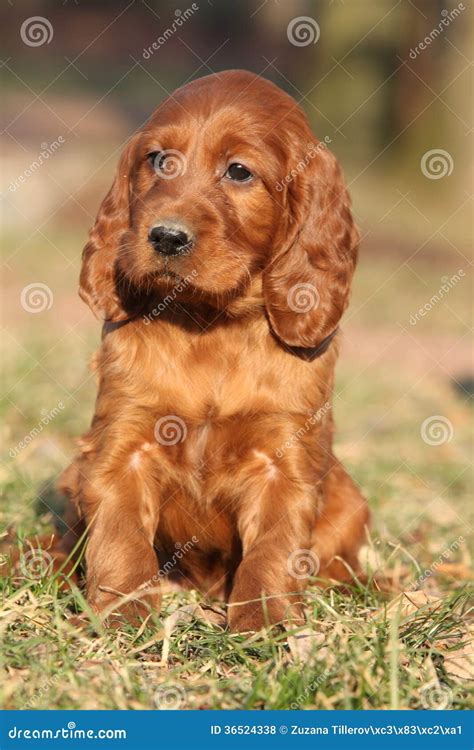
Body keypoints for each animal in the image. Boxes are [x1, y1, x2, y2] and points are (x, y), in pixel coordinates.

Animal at [59, 72, 368, 636]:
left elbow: (274, 549)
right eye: (159, 160)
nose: (164, 236)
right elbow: (120, 538)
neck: (210, 324)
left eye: (239, 171)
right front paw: (124, 614)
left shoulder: (283, 461)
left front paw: (264, 622)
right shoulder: (122, 446)